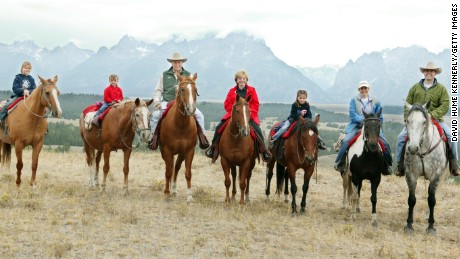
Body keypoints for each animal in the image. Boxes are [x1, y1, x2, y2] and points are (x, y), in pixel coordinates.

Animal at [159, 73, 199, 203]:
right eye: (182, 89)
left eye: (195, 90)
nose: (191, 109)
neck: (180, 125)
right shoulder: (167, 150)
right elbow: (168, 171)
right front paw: (166, 193)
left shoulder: (189, 151)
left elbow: (187, 173)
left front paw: (189, 196)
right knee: (170, 167)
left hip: (181, 153)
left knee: (176, 167)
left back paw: (174, 189)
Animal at [404, 102, 448, 236]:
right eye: (407, 120)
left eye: (424, 122)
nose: (413, 148)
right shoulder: (410, 174)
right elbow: (411, 199)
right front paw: (409, 225)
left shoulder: (436, 176)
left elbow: (432, 200)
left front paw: (431, 227)